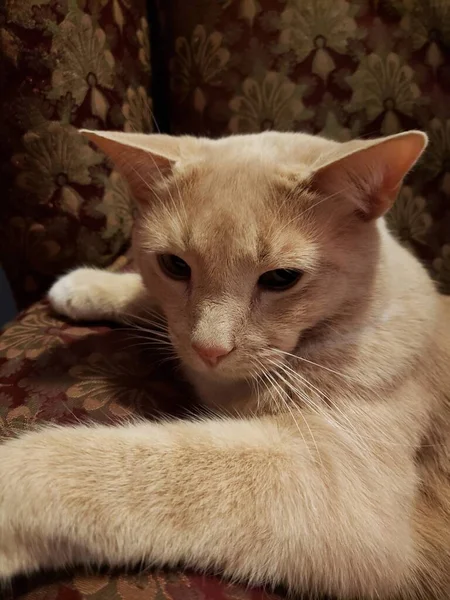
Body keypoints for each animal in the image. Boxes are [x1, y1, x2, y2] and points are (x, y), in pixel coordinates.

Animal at [0, 131, 450, 600]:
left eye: (281, 278)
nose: (210, 350)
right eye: (174, 266)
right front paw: (89, 286)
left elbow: (114, 463)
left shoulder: (330, 484)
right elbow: (154, 308)